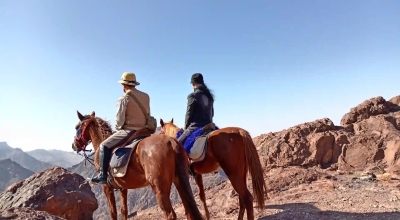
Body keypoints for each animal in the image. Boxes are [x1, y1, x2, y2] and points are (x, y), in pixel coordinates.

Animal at [71, 111, 203, 220]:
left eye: (77, 127)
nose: (74, 145)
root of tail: (171, 142)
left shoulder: (107, 188)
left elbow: (113, 213)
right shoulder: (123, 188)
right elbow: (124, 211)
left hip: (159, 188)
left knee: (170, 215)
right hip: (179, 182)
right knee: (189, 212)